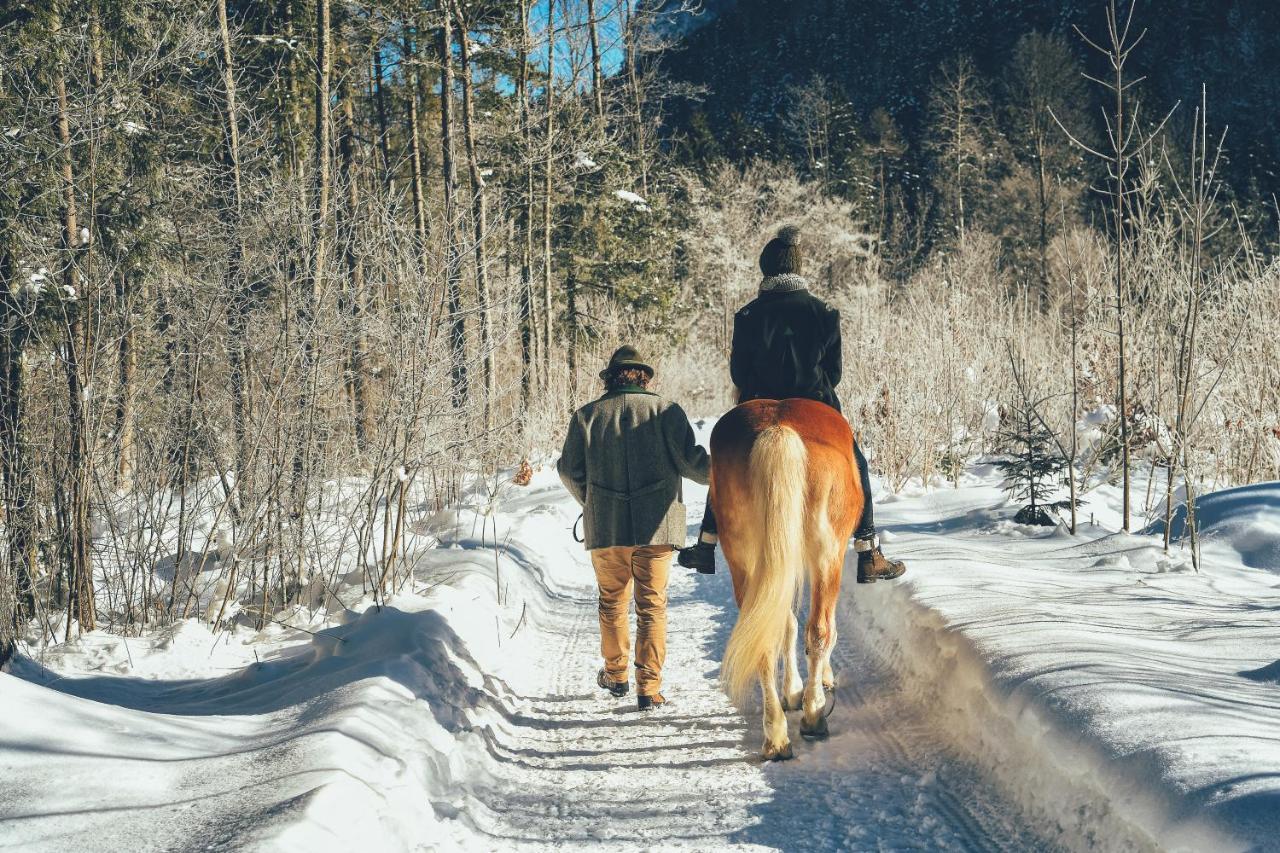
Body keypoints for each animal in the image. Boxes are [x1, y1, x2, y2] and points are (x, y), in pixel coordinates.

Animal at [706, 394, 865, 753]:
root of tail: (778, 430)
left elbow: (786, 625)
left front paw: (792, 691)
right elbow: (819, 630)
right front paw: (814, 689)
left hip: (743, 558)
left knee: (764, 635)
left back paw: (776, 736)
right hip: (827, 554)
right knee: (819, 629)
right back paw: (814, 717)